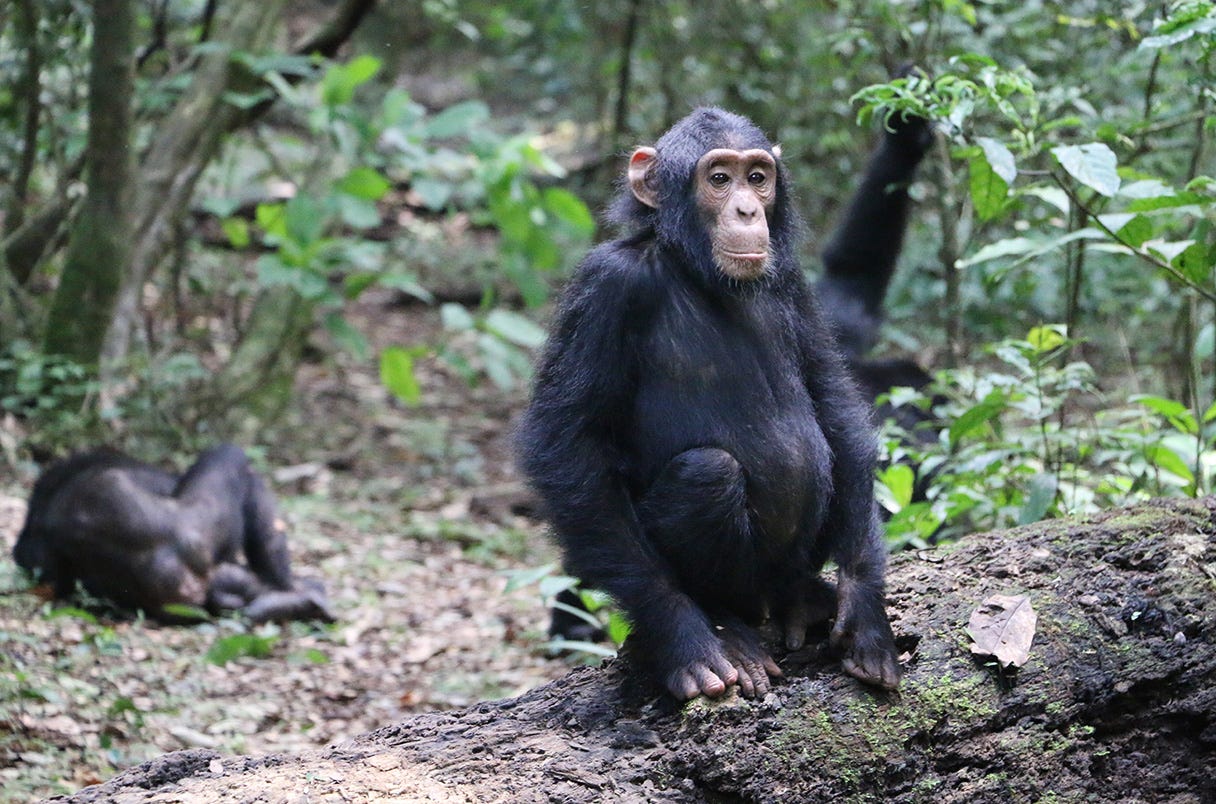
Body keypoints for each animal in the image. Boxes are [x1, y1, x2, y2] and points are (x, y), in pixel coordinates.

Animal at [515, 103, 929, 700]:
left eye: (757, 177)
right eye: (718, 179)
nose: (747, 208)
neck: (695, 272)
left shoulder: (795, 281)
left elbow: (833, 401)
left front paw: (866, 614)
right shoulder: (605, 288)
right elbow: (569, 444)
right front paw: (684, 635)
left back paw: (804, 596)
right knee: (708, 473)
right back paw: (725, 623)